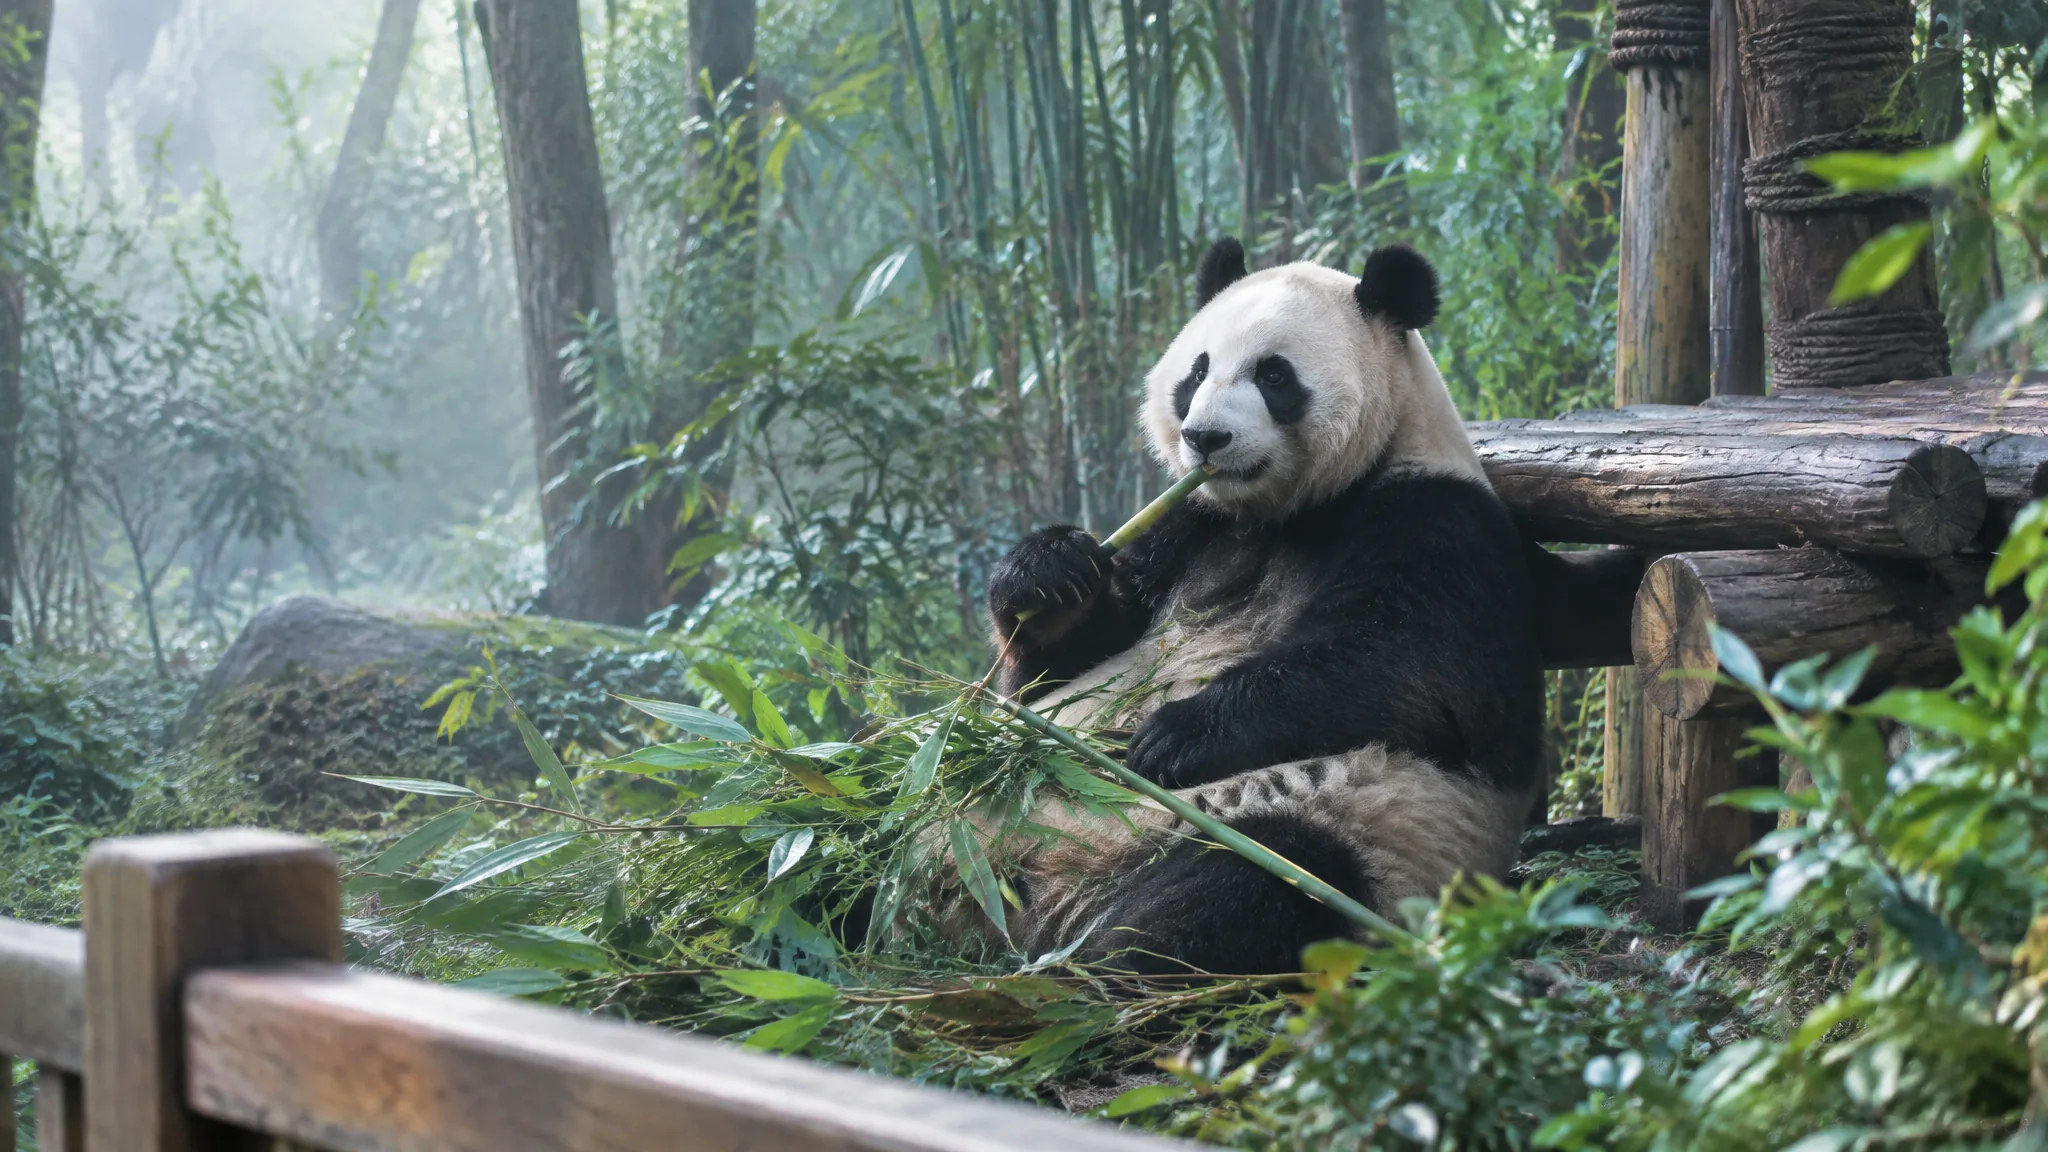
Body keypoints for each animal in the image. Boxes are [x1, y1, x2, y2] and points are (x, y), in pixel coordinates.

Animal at [974, 238, 1546, 975]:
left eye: (1275, 376)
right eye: (1197, 370)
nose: (1204, 438)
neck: (1277, 514)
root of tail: (1031, 908)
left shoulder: (1439, 524)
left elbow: (1408, 668)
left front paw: (1170, 735)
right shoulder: (1189, 525)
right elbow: (1048, 673)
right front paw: (1049, 571)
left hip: (1340, 833)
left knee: (1244, 888)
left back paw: (1082, 975)